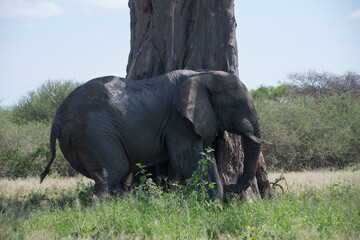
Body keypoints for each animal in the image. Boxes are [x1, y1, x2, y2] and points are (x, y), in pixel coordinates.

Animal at [40, 70, 270, 202]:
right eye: (235, 105)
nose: (233, 186)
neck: (204, 74)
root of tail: (57, 117)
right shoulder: (179, 123)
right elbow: (188, 164)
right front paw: (213, 206)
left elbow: (206, 159)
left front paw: (217, 206)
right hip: (94, 133)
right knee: (112, 172)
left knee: (113, 176)